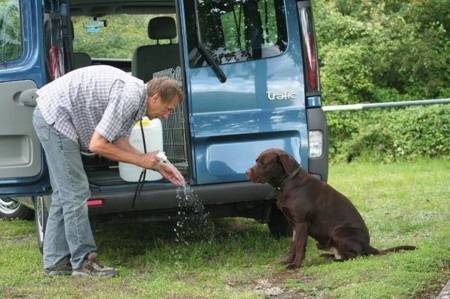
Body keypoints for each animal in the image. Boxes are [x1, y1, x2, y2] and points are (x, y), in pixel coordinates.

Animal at [246, 149, 414, 270]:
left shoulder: (301, 223)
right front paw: (288, 261)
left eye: (263, 163)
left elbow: (299, 246)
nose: (246, 173)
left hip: (340, 233)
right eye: (256, 161)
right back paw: (328, 257)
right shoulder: (293, 224)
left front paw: (295, 265)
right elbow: (293, 246)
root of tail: (368, 245)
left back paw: (334, 260)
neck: (289, 182)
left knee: (355, 256)